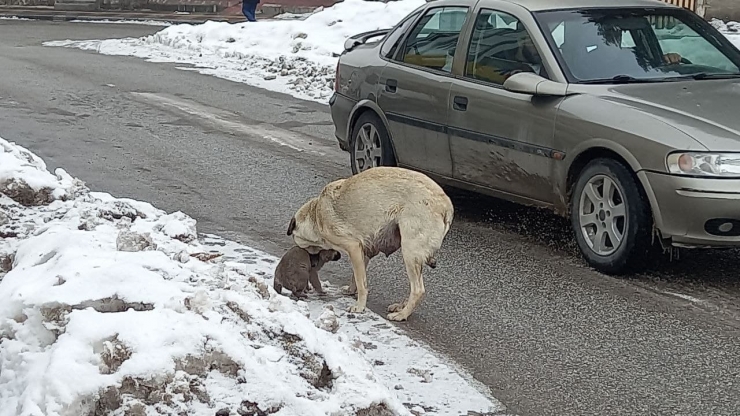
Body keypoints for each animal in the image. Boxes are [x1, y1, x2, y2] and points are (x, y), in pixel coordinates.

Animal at [286, 166, 454, 322]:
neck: (316, 214)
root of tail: (446, 206)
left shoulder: (353, 247)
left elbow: (361, 283)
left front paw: (360, 306)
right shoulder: (363, 252)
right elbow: (357, 278)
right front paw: (351, 291)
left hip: (410, 252)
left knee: (418, 290)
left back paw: (402, 314)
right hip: (414, 255)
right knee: (416, 287)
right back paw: (401, 306)